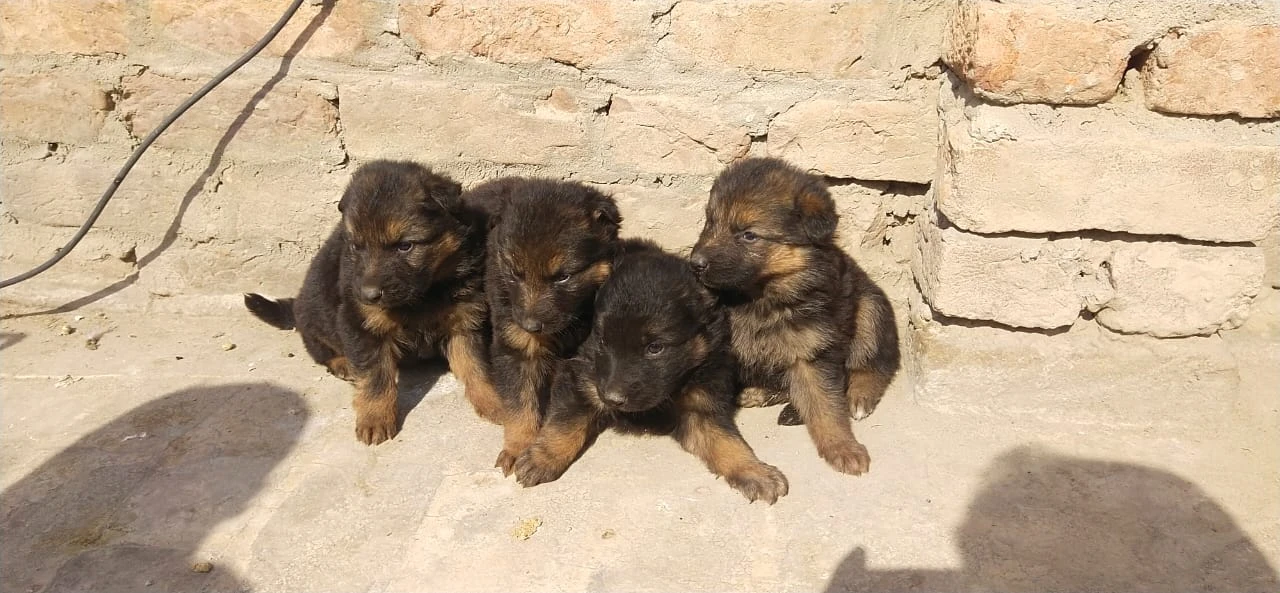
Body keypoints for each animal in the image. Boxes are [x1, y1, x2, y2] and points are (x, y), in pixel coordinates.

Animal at [241, 160, 501, 443]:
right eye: (357, 246)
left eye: (405, 246)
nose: (368, 296)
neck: (423, 296)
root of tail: (297, 304)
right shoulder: (360, 325)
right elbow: (375, 378)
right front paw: (375, 418)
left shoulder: (465, 320)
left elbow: (476, 367)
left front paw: (494, 402)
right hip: (314, 318)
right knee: (318, 349)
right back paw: (342, 363)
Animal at [465, 175, 624, 473]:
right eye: (515, 273)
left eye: (563, 277)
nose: (530, 326)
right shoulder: (517, 347)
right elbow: (520, 404)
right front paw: (517, 446)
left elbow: (569, 414)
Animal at [512, 239, 788, 504]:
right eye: (602, 341)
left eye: (655, 348)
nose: (611, 399)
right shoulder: (580, 376)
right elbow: (564, 422)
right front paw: (542, 456)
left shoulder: (702, 403)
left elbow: (726, 441)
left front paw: (754, 471)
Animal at [691, 156, 901, 473]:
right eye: (710, 223)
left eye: (749, 235)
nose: (695, 264)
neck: (759, 299)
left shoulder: (811, 349)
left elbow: (825, 404)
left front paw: (842, 446)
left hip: (869, 309)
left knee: (873, 364)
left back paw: (859, 396)